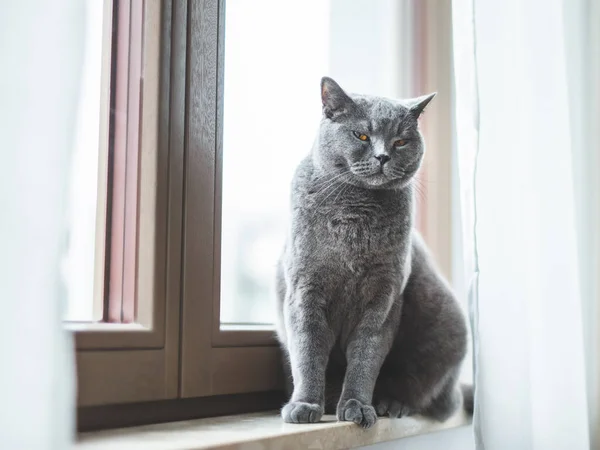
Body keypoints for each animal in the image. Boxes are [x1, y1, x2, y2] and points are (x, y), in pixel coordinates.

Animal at [274, 78, 472, 428]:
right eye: (362, 135)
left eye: (401, 141)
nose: (382, 156)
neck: (355, 214)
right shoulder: (303, 290)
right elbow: (308, 350)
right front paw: (306, 405)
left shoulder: (384, 298)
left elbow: (366, 356)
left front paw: (357, 407)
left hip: (443, 322)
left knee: (423, 389)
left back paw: (390, 404)